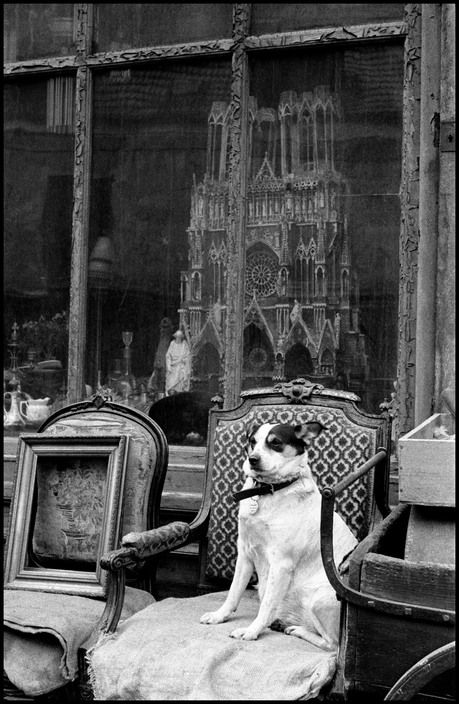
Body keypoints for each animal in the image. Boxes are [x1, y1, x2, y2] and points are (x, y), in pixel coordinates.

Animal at [201, 418, 360, 656]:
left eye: (275, 442)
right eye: (252, 441)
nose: (253, 459)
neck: (268, 491)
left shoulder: (281, 563)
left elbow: (266, 605)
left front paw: (251, 631)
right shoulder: (245, 553)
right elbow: (233, 592)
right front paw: (219, 616)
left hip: (319, 600)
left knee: (332, 645)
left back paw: (296, 630)